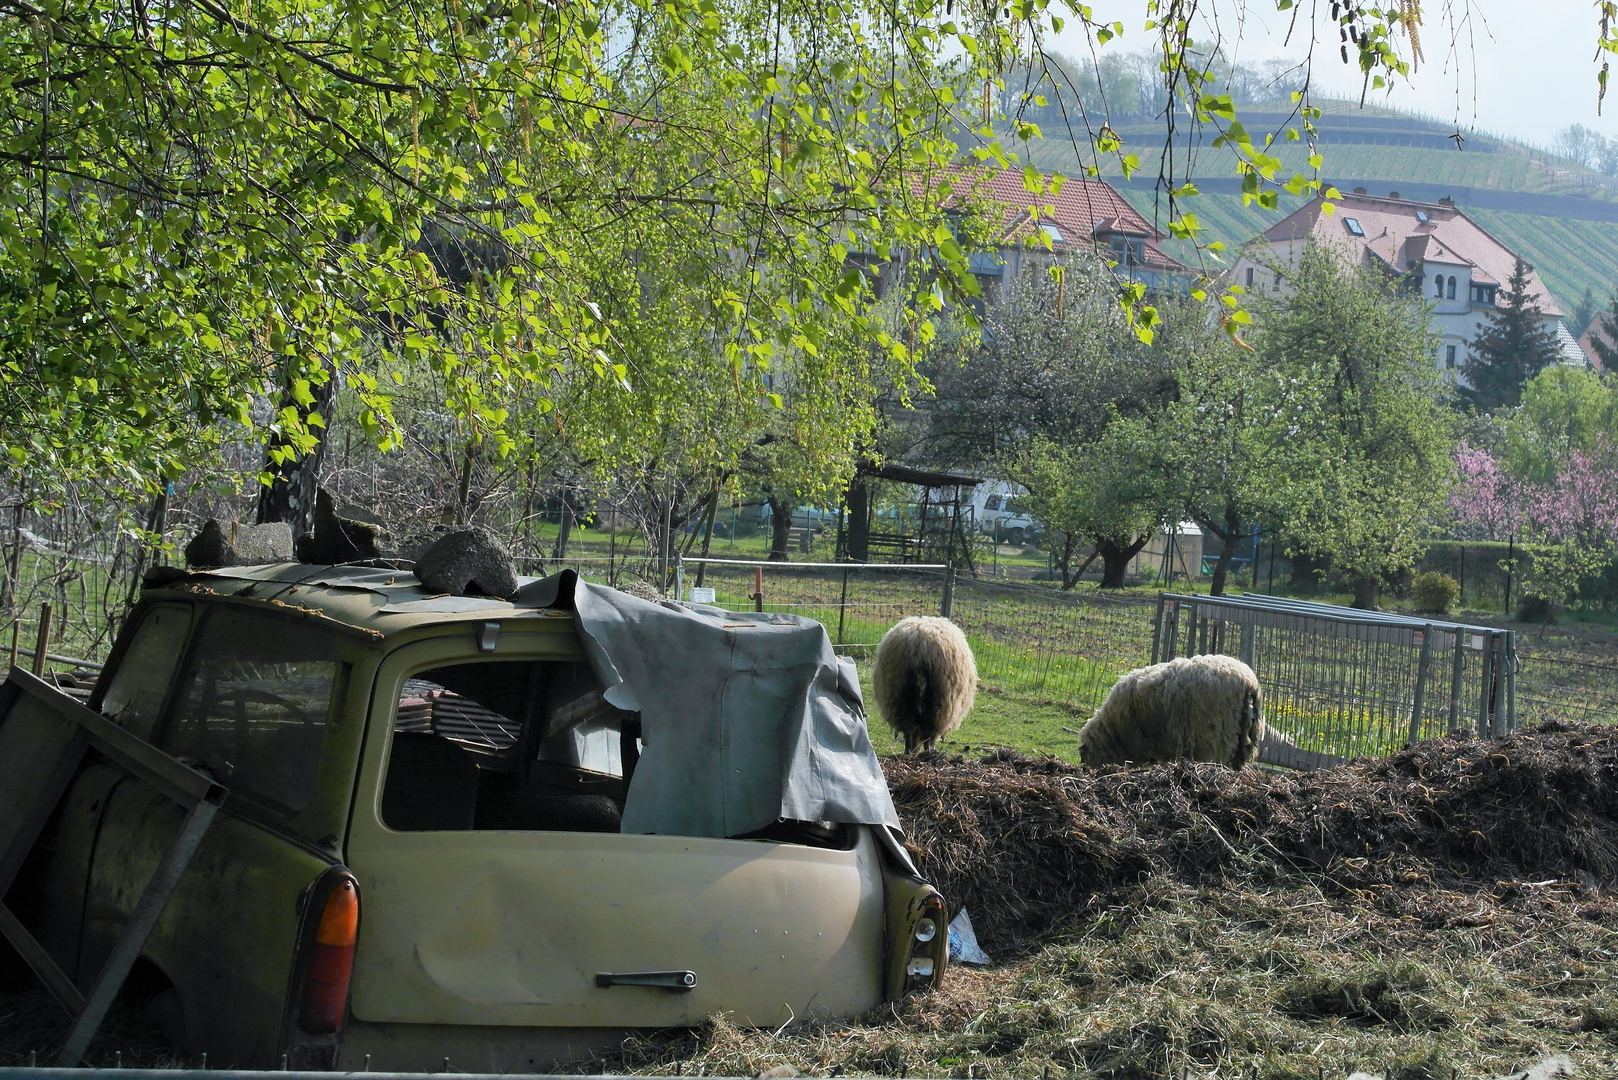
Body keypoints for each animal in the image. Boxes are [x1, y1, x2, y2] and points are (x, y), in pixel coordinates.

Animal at [873, 612, 970, 757]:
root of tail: (920, 646)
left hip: (898, 694)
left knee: (909, 727)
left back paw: (909, 752)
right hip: (940, 701)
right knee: (929, 731)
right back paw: (929, 752)